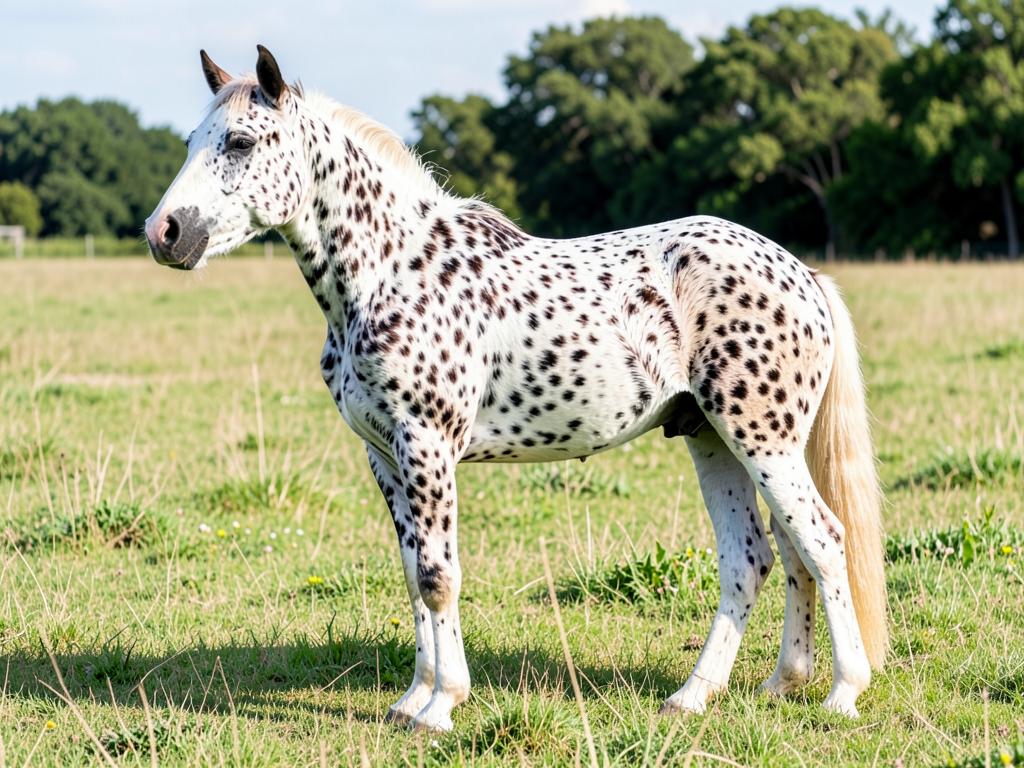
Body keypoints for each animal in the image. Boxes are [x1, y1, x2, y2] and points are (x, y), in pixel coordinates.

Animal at [146, 46, 887, 732]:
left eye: (241, 142)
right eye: (189, 142)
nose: (164, 233)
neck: (390, 271)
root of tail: (803, 274)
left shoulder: (427, 447)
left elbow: (439, 578)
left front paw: (442, 706)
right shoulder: (383, 455)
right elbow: (413, 571)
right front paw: (412, 698)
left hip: (762, 440)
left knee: (822, 541)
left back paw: (841, 692)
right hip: (715, 440)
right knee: (759, 557)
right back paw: (723, 691)